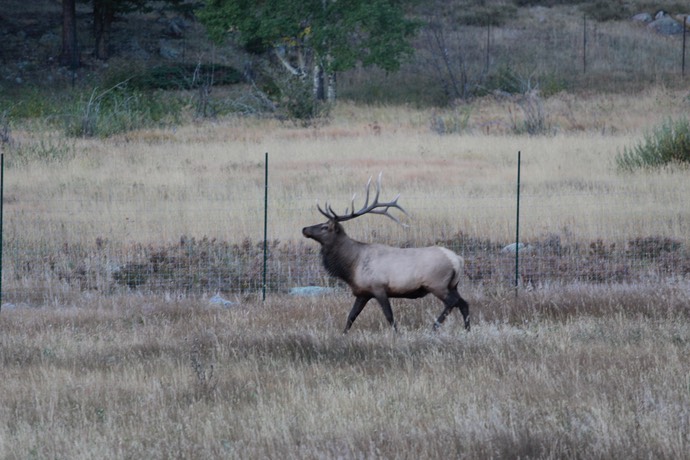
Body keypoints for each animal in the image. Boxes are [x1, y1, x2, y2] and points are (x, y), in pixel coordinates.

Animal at [300, 174, 468, 332]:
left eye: (325, 227)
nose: (304, 229)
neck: (352, 266)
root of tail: (457, 260)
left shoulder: (378, 287)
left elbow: (389, 316)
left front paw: (397, 334)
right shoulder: (363, 292)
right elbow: (351, 317)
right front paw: (343, 335)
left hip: (437, 283)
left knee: (453, 303)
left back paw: (434, 327)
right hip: (453, 285)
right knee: (464, 304)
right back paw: (467, 329)